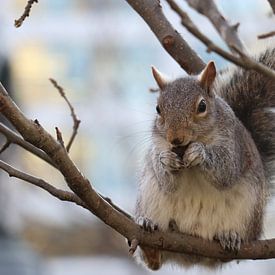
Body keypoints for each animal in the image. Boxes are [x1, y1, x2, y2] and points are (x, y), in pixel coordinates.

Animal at [134, 48, 275, 272]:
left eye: (202, 106)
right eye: (158, 109)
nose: (175, 138)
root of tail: (192, 255)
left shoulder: (233, 147)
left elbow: (225, 173)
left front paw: (200, 154)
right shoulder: (157, 147)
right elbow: (166, 181)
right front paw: (167, 160)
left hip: (249, 214)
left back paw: (230, 236)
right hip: (149, 199)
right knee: (153, 262)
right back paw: (149, 236)